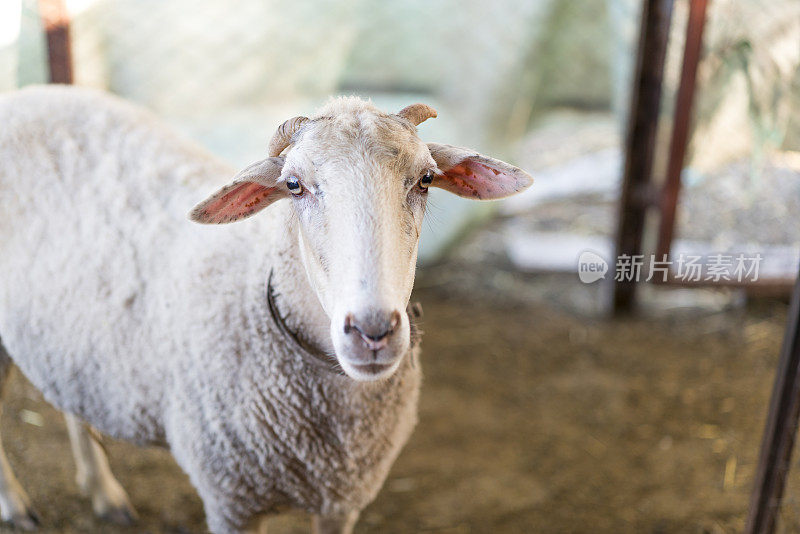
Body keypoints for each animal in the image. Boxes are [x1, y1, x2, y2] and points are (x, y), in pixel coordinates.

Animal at [0, 86, 532, 532]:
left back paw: (103, 493)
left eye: (425, 179)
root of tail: (25, 95)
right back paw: (18, 505)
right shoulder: (229, 499)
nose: (373, 331)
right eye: (293, 185)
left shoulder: (341, 502)